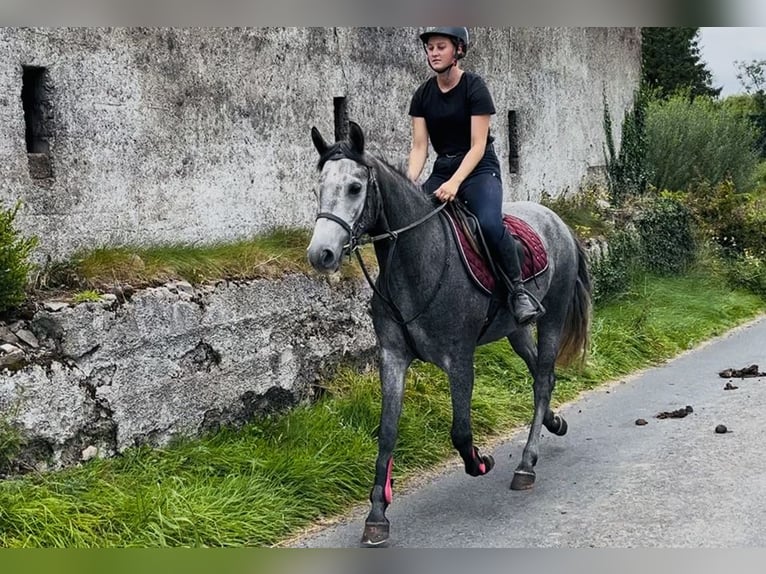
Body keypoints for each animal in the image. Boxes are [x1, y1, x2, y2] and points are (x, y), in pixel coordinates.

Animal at [306, 121, 592, 547]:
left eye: (355, 187)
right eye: (319, 186)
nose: (320, 254)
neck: (416, 261)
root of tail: (556, 220)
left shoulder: (460, 359)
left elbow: (459, 431)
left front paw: (481, 460)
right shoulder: (392, 358)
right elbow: (386, 431)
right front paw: (377, 514)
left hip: (553, 318)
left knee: (542, 379)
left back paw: (526, 464)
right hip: (515, 330)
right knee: (543, 374)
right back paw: (553, 423)